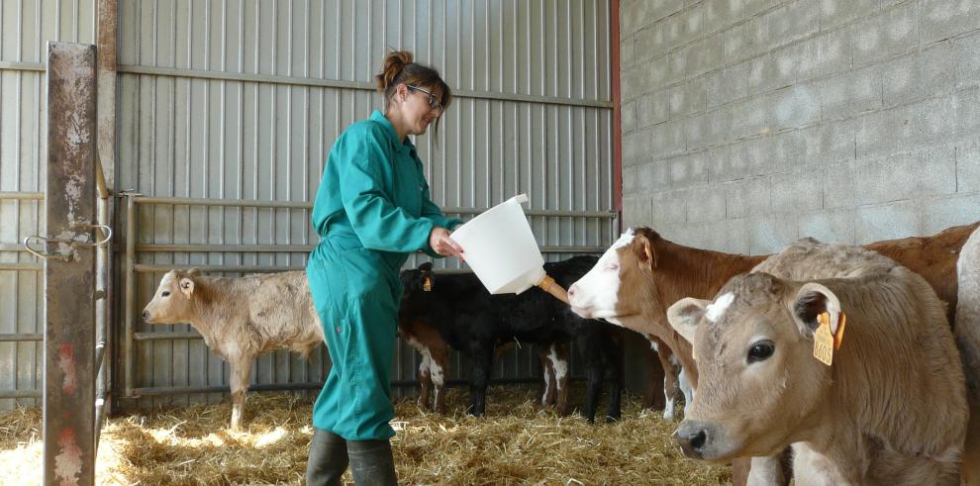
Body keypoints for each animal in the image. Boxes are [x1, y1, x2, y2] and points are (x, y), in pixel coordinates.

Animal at [400, 258, 624, 422]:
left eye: (405, 288)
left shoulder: (482, 341)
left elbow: (479, 380)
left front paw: (478, 414)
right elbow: (473, 379)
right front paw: (471, 411)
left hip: (587, 333)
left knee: (596, 369)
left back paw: (588, 418)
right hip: (609, 333)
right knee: (615, 367)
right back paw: (612, 415)